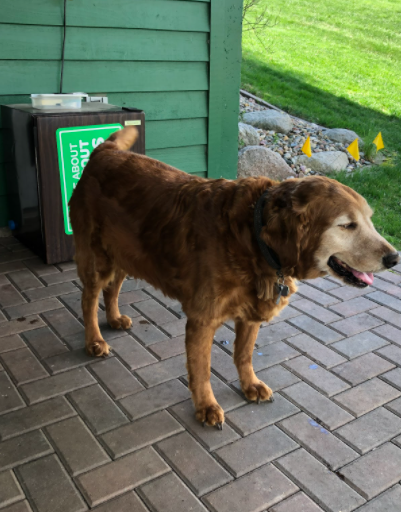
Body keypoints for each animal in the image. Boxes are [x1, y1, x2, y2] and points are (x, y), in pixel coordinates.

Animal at [69, 127, 396, 428]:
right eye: (347, 225)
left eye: (369, 220)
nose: (395, 258)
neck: (255, 235)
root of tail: (104, 152)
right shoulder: (202, 319)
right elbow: (201, 369)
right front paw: (206, 406)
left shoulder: (250, 314)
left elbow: (244, 355)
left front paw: (249, 385)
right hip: (97, 258)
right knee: (89, 298)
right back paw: (94, 340)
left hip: (125, 254)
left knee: (112, 288)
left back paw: (114, 319)